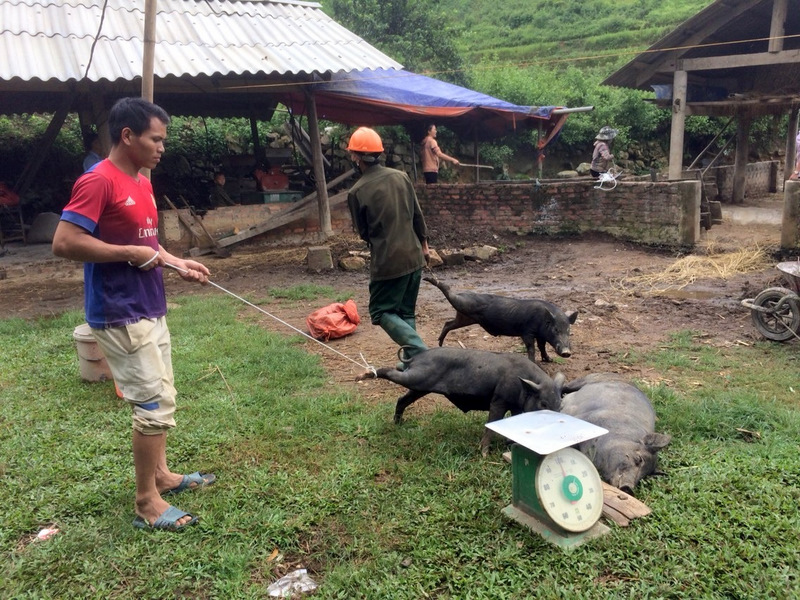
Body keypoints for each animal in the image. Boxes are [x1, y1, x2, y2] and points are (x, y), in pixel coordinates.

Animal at [354, 346, 564, 454]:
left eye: (559, 406)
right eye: (543, 404)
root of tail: (416, 357)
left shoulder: (516, 407)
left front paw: (510, 445)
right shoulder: (498, 400)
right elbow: (491, 424)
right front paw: (484, 454)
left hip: (419, 386)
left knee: (402, 399)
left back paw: (398, 423)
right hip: (417, 377)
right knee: (389, 374)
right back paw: (362, 376)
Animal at [422, 276, 580, 364]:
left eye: (568, 330)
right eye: (555, 330)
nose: (566, 352)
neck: (542, 319)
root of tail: (461, 293)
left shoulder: (541, 335)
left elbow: (542, 347)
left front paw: (549, 360)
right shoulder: (527, 332)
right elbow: (531, 347)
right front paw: (534, 363)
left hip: (464, 317)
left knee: (447, 323)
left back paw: (440, 343)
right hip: (463, 305)